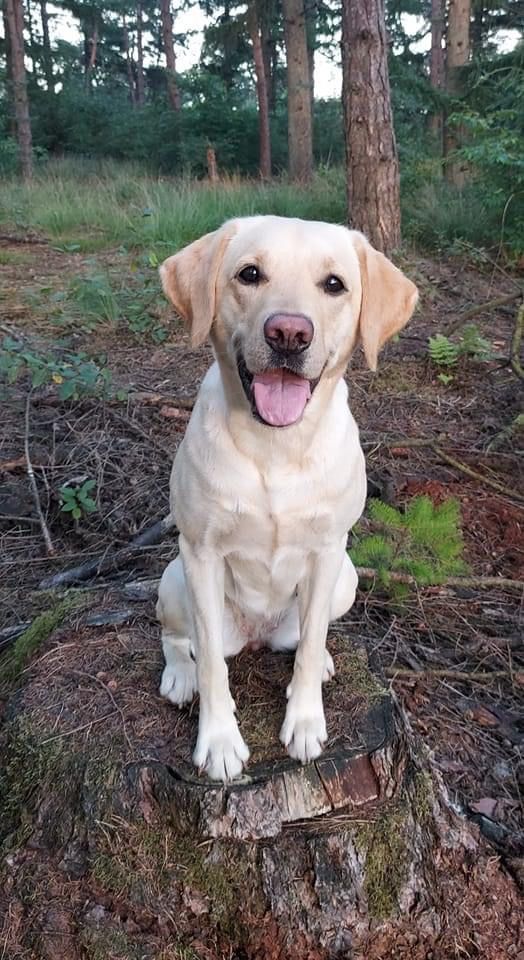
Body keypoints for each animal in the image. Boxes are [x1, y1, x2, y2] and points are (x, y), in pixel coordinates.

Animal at [156, 216, 418, 780]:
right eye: (249, 273)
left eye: (334, 284)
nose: (289, 334)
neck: (275, 446)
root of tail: (256, 634)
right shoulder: (199, 553)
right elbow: (211, 664)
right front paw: (218, 740)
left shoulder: (328, 550)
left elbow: (313, 640)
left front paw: (304, 720)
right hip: (173, 580)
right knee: (180, 640)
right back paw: (180, 675)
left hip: (346, 579)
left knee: (304, 638)